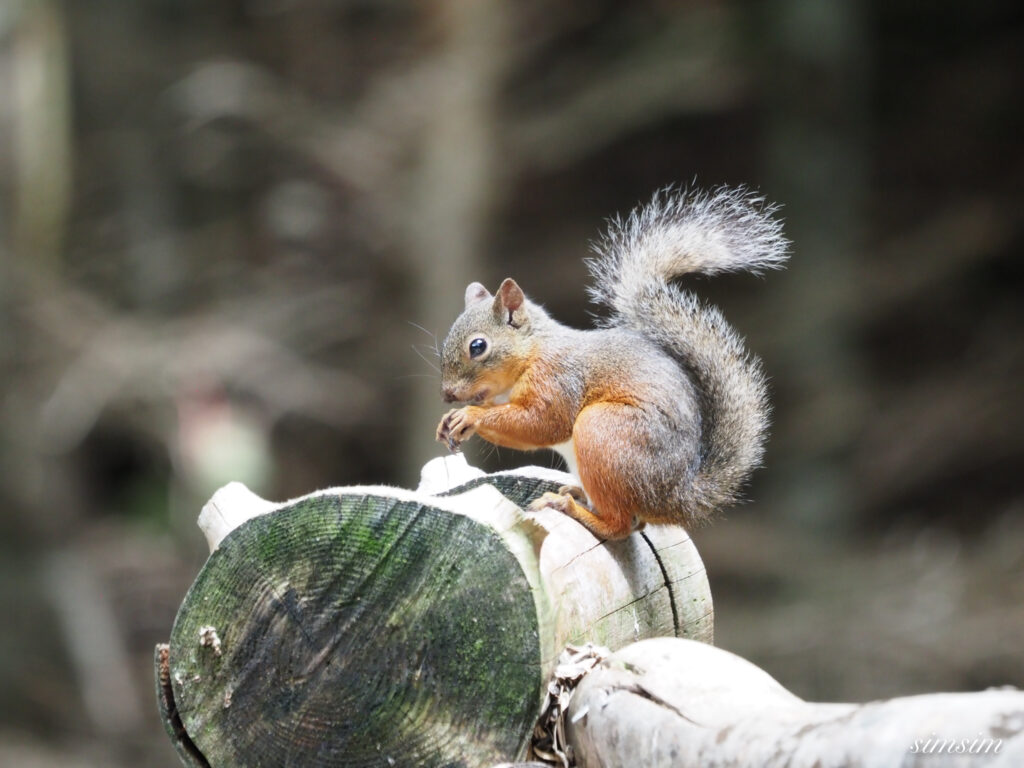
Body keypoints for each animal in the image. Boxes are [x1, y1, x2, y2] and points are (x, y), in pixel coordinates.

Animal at [436, 185, 786, 540]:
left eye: (478, 346)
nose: (448, 394)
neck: (533, 351)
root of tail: (676, 498)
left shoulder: (558, 377)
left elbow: (544, 422)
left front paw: (471, 415)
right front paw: (450, 420)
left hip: (605, 431)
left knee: (621, 524)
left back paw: (571, 508)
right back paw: (576, 494)